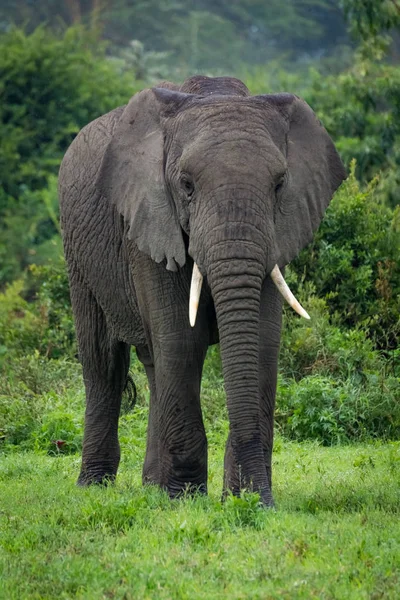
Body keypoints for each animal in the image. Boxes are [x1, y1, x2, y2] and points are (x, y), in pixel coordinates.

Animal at [57, 75, 346, 506]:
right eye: (187, 186)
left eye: (279, 185)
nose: (258, 499)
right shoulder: (150, 220)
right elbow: (182, 341)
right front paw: (186, 500)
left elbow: (261, 342)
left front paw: (242, 501)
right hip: (77, 251)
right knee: (103, 361)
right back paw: (95, 487)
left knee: (153, 363)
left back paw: (152, 487)